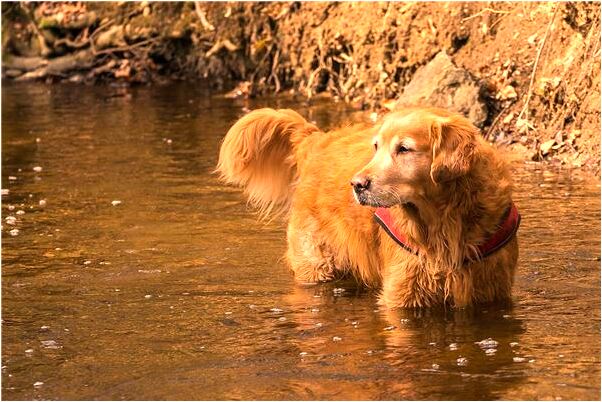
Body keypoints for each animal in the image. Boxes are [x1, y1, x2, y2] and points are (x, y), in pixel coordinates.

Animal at [217, 107, 520, 308]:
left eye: (404, 149)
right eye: (376, 147)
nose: (357, 184)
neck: (443, 218)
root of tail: (317, 139)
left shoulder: (491, 288)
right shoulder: (401, 291)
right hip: (315, 263)